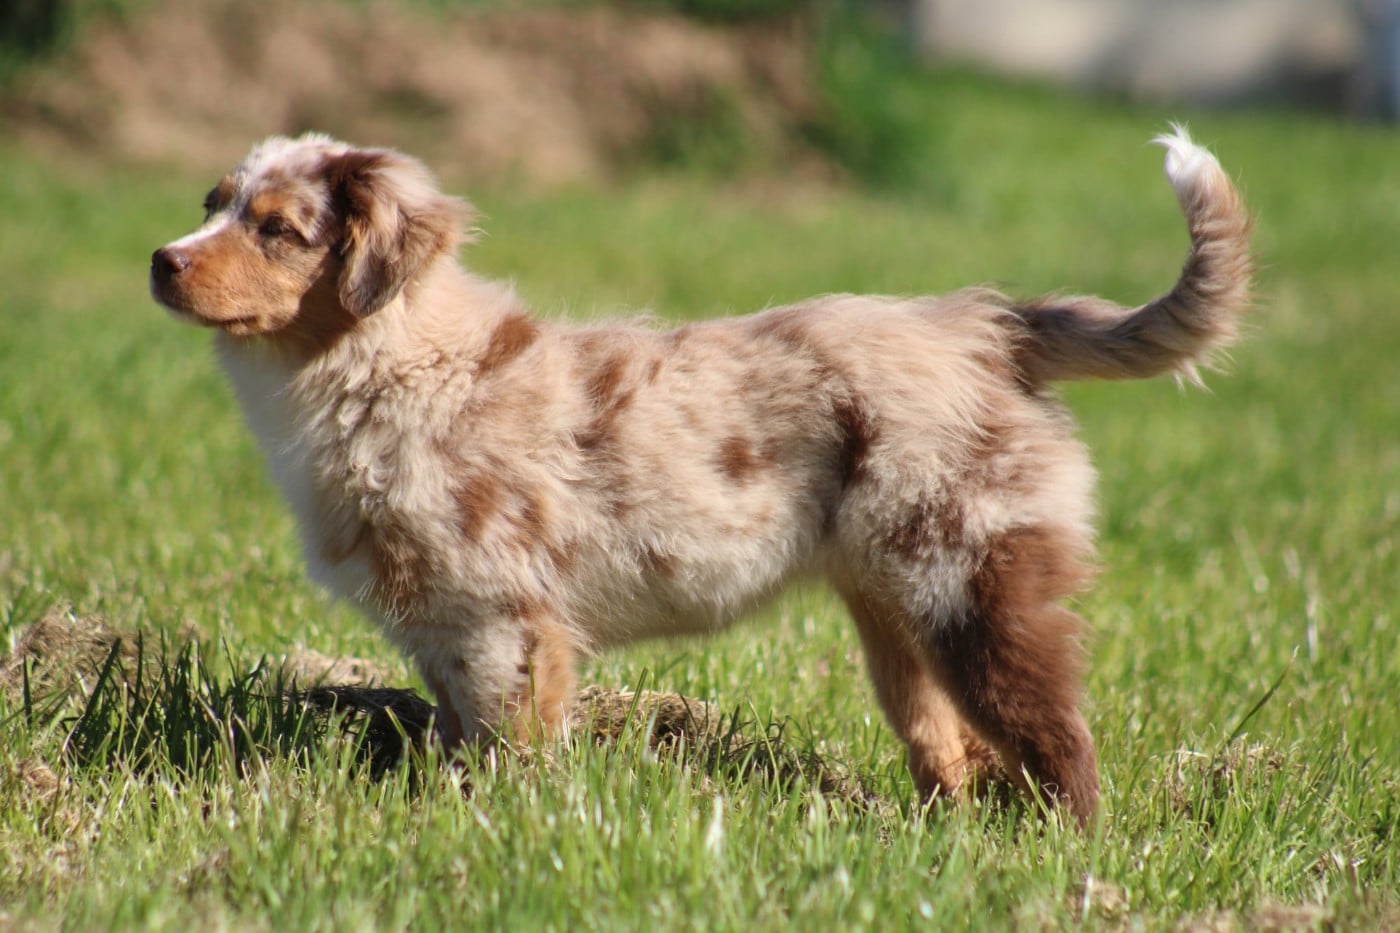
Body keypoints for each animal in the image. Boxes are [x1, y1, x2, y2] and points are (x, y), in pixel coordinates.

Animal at [150, 126, 1251, 826]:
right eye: (212, 206)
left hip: (974, 582)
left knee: (1053, 734)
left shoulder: (505, 621)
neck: (391, 365)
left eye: (277, 230)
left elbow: (511, 750)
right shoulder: (445, 631)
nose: (161, 259)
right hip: (895, 607)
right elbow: (460, 742)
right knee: (947, 744)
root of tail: (984, 325)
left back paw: (1059, 853)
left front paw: (507, 833)